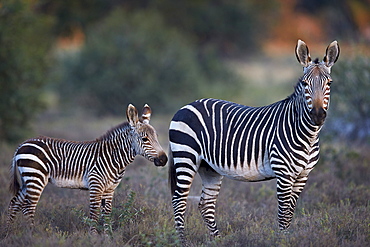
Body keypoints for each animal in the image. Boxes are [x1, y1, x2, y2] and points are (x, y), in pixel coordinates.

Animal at [5, 103, 167, 234]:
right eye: (145, 139)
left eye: (157, 137)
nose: (164, 159)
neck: (113, 157)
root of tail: (22, 144)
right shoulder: (96, 185)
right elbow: (94, 214)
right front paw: (93, 237)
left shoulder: (109, 189)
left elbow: (107, 215)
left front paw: (107, 237)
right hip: (35, 178)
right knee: (28, 207)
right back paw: (32, 234)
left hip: (28, 179)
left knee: (14, 203)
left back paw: (8, 233)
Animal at [169, 39, 340, 244]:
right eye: (305, 83)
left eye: (329, 83)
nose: (317, 116)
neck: (307, 134)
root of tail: (186, 105)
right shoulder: (284, 174)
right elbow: (283, 213)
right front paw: (282, 241)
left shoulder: (302, 175)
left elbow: (290, 212)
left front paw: (288, 238)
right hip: (185, 157)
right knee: (179, 200)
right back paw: (182, 241)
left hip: (208, 167)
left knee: (205, 204)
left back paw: (218, 240)